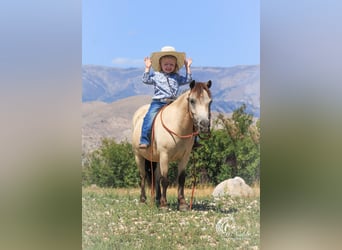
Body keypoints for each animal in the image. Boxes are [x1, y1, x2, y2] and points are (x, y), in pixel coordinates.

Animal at [131, 80, 211, 211]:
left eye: (210, 101)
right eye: (192, 101)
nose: (204, 125)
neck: (177, 126)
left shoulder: (185, 157)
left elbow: (181, 178)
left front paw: (182, 203)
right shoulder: (165, 155)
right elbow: (165, 180)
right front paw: (164, 204)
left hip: (156, 159)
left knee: (156, 176)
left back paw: (157, 199)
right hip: (139, 156)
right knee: (143, 176)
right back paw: (143, 200)